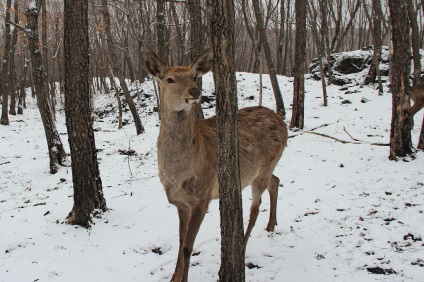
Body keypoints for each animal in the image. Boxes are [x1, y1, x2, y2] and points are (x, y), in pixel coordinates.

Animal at [145, 49, 288, 280]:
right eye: (170, 79)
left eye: (194, 76)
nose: (194, 91)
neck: (180, 173)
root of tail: (282, 121)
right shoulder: (181, 203)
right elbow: (180, 242)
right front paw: (173, 277)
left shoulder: (202, 198)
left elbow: (188, 247)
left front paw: (183, 279)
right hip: (263, 169)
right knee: (275, 181)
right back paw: (270, 226)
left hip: (266, 166)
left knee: (255, 207)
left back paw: (244, 247)